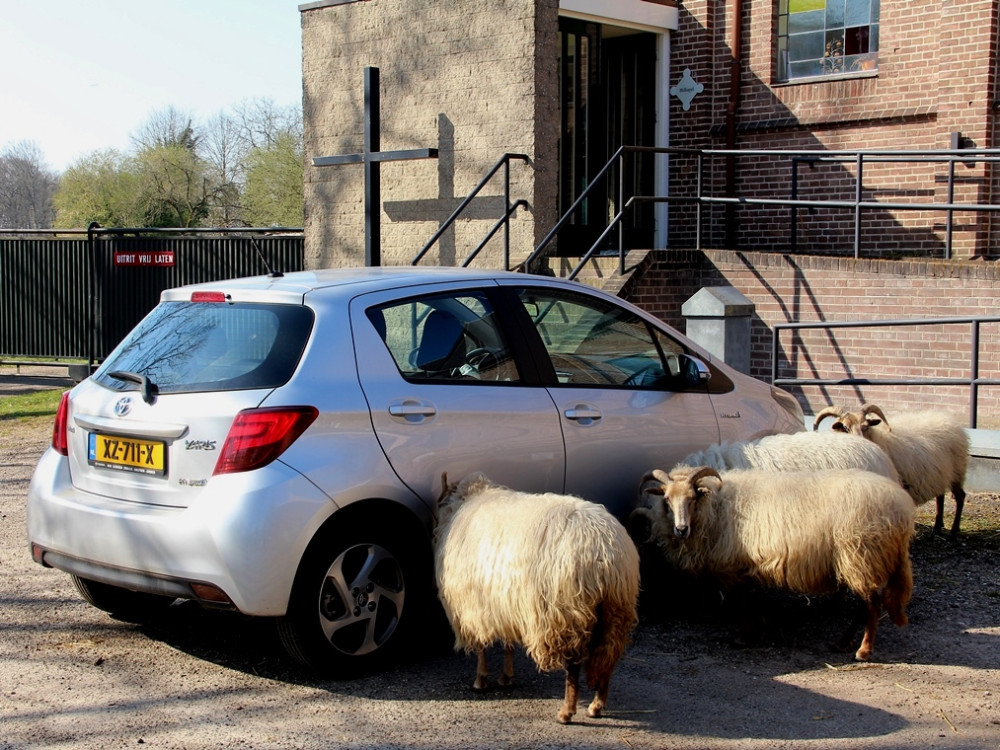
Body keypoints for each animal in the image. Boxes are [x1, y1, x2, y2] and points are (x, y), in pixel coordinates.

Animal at [436, 472, 640, 724]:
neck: (469, 499)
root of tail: (606, 554)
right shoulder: (506, 603)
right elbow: (508, 643)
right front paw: (506, 677)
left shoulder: (474, 605)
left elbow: (483, 647)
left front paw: (481, 679)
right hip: (615, 612)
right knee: (607, 659)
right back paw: (596, 705)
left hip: (566, 613)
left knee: (573, 666)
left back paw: (567, 712)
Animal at [632, 468, 916, 660]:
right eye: (667, 500)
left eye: (692, 498)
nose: (681, 529)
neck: (715, 507)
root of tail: (901, 509)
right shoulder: (747, 565)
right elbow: (751, 599)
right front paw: (761, 627)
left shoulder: (732, 566)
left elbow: (740, 602)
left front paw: (743, 636)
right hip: (863, 559)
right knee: (868, 602)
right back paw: (844, 643)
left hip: (861, 555)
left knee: (870, 602)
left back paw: (862, 649)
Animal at [812, 406, 968, 540]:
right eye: (845, 428)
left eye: (866, 426)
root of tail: (949, 419)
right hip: (941, 473)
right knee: (940, 496)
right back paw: (937, 527)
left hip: (957, 472)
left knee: (960, 497)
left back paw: (954, 531)